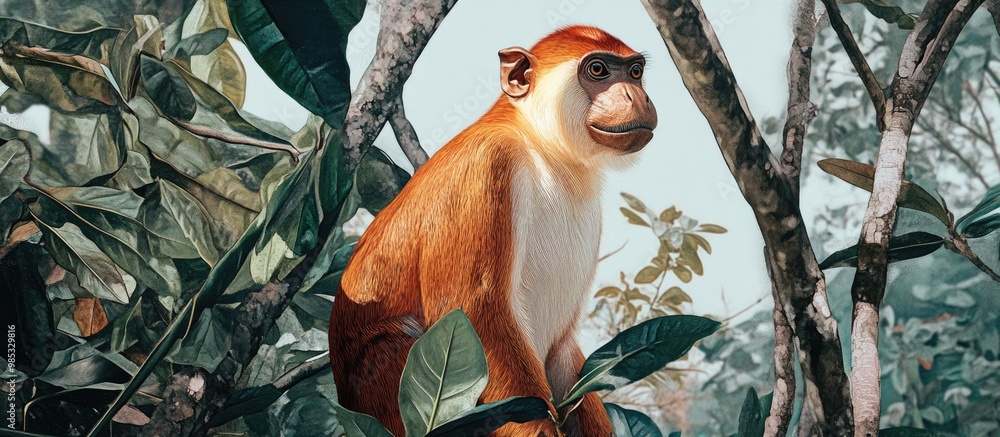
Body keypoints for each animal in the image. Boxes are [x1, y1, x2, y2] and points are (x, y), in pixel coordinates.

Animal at [329, 26, 657, 436]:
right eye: (598, 69)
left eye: (635, 72)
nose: (636, 95)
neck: (542, 148)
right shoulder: (487, 166)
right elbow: (475, 315)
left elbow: (561, 348)